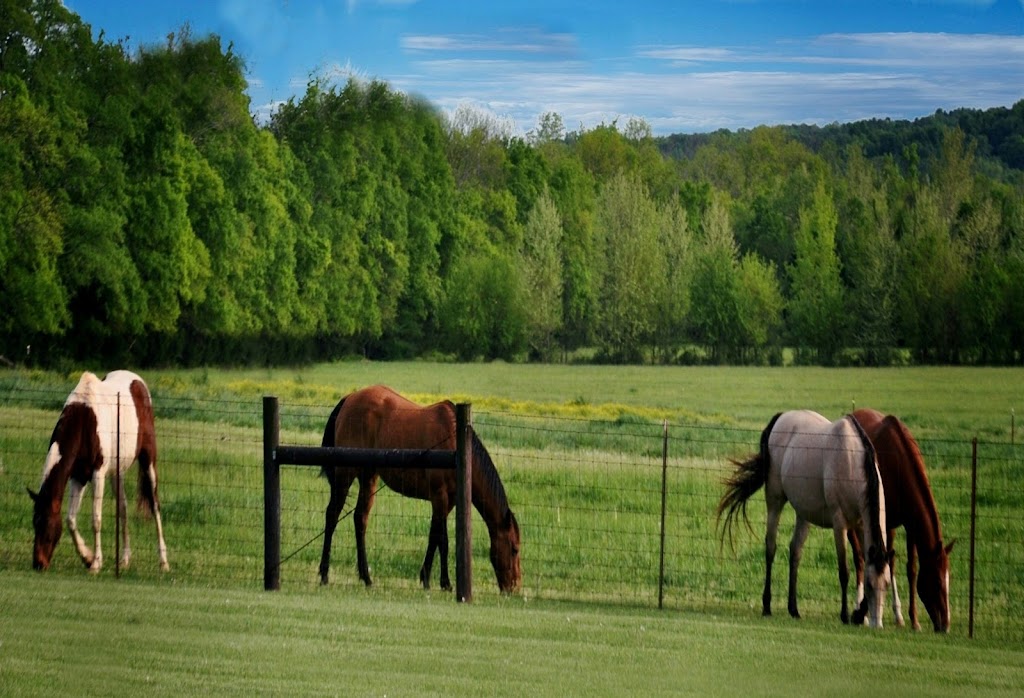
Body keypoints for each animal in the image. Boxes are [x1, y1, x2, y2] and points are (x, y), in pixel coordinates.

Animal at [28, 370, 169, 569]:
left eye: (47, 526)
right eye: (35, 524)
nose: (38, 564)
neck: (84, 419)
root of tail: (138, 381)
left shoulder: (98, 473)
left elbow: (96, 519)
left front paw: (95, 562)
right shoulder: (78, 477)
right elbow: (70, 519)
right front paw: (87, 557)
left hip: (148, 460)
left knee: (155, 505)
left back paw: (163, 561)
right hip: (117, 471)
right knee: (123, 507)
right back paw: (125, 559)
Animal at [319, 386, 524, 593]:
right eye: (514, 548)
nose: (514, 587)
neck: (454, 443)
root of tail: (350, 398)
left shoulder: (448, 502)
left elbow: (437, 537)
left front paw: (436, 580)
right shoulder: (439, 496)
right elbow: (440, 539)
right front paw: (436, 581)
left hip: (369, 477)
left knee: (360, 518)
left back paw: (366, 577)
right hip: (344, 474)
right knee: (332, 515)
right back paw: (324, 574)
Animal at [716, 407, 892, 626]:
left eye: (886, 584)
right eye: (869, 584)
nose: (878, 624)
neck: (853, 462)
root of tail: (781, 417)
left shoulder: (860, 524)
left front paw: (858, 614)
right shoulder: (840, 523)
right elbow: (844, 571)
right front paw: (845, 615)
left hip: (803, 513)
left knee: (795, 552)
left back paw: (794, 609)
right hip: (775, 500)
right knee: (771, 547)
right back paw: (767, 605)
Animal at [843, 407, 954, 630]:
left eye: (949, 580)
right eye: (938, 582)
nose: (945, 625)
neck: (900, 462)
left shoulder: (910, 524)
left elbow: (911, 568)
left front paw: (912, 620)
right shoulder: (885, 522)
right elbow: (886, 562)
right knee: (859, 559)